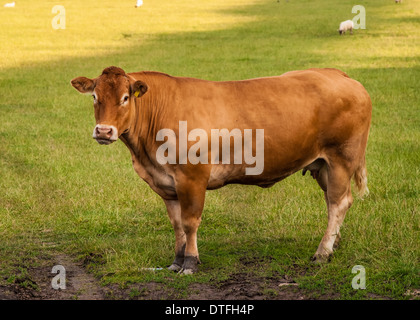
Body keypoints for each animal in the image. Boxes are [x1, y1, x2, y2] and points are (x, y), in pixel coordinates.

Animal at [71, 66, 370, 274]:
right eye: (95, 96)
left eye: (125, 98)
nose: (104, 131)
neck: (146, 151)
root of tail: (338, 74)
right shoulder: (167, 185)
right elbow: (176, 224)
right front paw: (176, 260)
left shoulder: (192, 177)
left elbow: (190, 222)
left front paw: (190, 262)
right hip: (322, 165)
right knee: (333, 202)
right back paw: (333, 244)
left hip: (342, 158)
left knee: (339, 202)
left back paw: (322, 252)